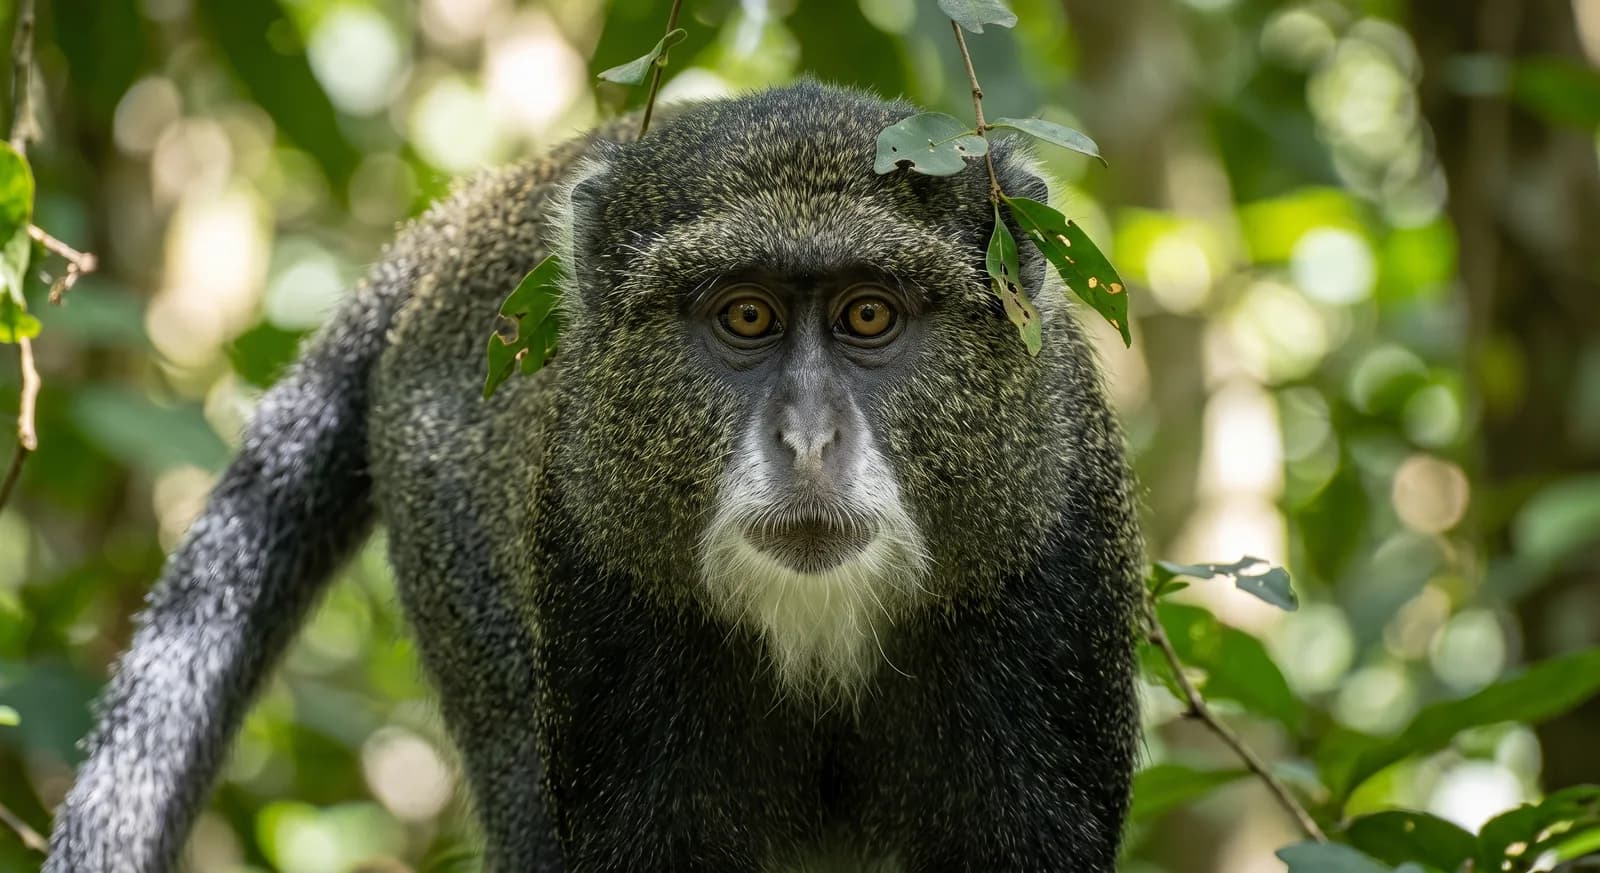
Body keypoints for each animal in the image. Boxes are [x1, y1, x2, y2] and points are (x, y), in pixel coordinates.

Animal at [43, 81, 1143, 872]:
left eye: (868, 314)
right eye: (746, 316)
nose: (806, 440)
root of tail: (461, 225)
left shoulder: (1055, 565)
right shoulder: (591, 568)